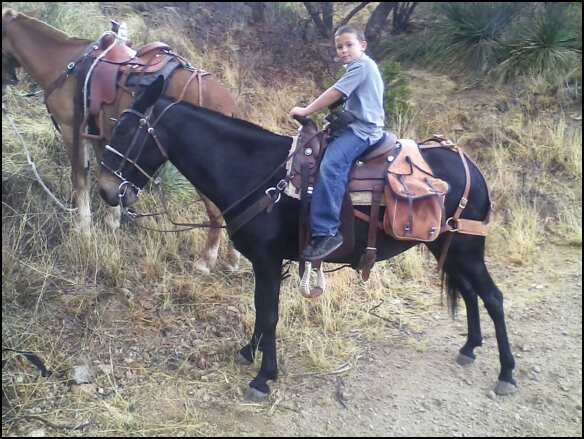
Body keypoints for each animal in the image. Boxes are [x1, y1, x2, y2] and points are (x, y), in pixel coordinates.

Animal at [1, 8, 239, 272]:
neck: (65, 64)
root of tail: (227, 103)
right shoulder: (101, 136)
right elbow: (107, 176)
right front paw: (112, 220)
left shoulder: (71, 131)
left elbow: (80, 179)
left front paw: (83, 230)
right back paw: (232, 260)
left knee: (216, 210)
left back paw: (206, 262)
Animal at [98, 76, 518, 401]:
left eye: (125, 130)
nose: (105, 190)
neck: (255, 172)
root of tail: (471, 166)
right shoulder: (266, 263)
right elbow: (261, 309)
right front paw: (249, 352)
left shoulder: (267, 260)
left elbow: (269, 312)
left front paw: (263, 378)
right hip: (448, 247)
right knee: (471, 293)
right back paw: (469, 348)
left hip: (466, 249)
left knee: (493, 297)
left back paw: (506, 373)